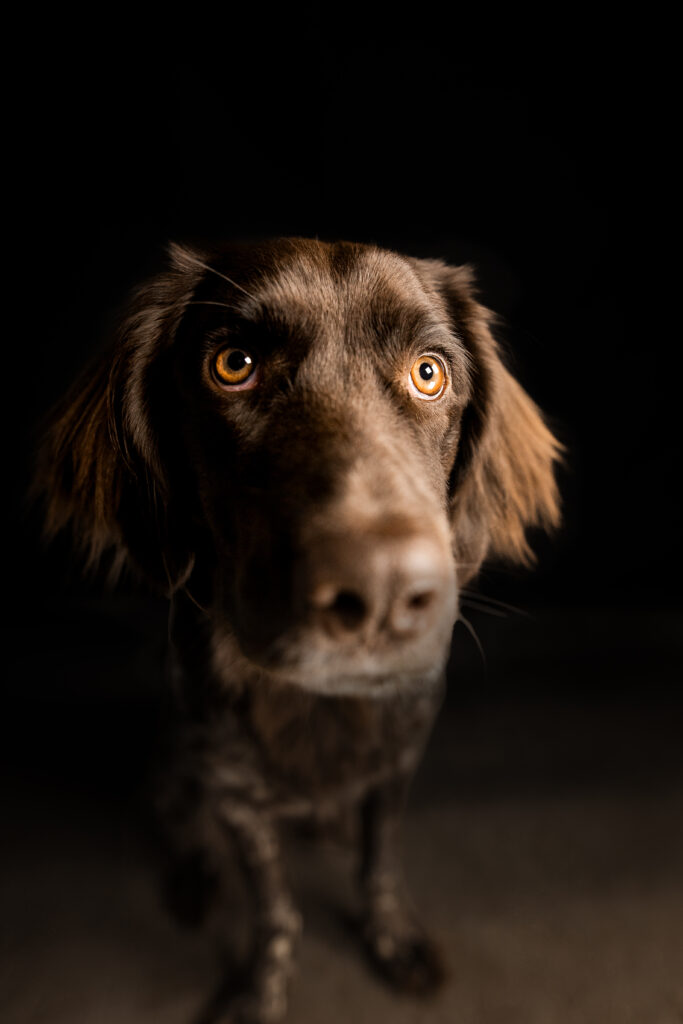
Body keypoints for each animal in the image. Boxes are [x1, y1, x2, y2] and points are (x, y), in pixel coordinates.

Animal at [34, 235, 565, 1019]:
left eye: (428, 373)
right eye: (234, 365)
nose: (381, 591)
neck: (317, 707)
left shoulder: (396, 764)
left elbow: (380, 863)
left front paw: (393, 938)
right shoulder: (235, 795)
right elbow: (276, 910)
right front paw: (259, 991)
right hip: (173, 763)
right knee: (174, 817)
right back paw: (193, 879)